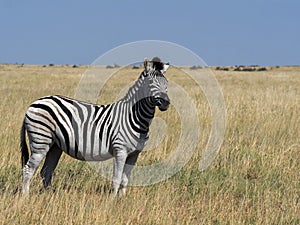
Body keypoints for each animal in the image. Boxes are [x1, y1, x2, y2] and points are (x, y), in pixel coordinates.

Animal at [20, 57, 171, 195]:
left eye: (166, 83)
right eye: (150, 82)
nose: (166, 103)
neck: (135, 117)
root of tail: (35, 102)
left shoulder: (134, 154)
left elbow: (125, 180)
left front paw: (122, 200)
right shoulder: (120, 150)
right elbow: (116, 179)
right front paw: (112, 201)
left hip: (55, 146)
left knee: (46, 171)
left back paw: (50, 196)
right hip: (40, 141)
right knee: (28, 169)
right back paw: (25, 197)